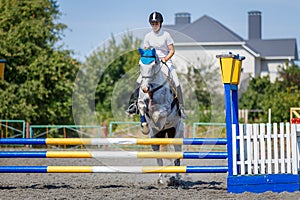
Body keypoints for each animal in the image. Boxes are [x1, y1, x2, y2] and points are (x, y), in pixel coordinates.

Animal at [137, 47, 184, 184]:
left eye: (154, 64)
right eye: (140, 65)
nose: (144, 88)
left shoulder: (166, 108)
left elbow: (159, 113)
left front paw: (156, 121)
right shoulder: (141, 102)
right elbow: (142, 108)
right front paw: (145, 127)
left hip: (176, 135)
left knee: (177, 157)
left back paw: (176, 178)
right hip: (155, 139)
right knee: (159, 157)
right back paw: (161, 179)